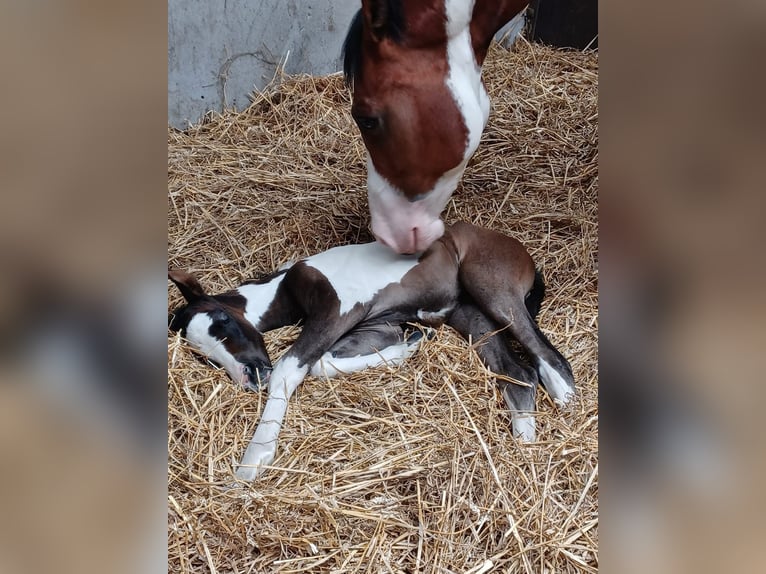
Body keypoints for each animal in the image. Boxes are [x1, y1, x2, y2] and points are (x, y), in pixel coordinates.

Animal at [170, 223, 576, 484]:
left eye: (223, 320)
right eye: (204, 356)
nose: (250, 376)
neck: (286, 286)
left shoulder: (337, 311)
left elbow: (291, 367)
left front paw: (253, 462)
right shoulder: (377, 326)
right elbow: (324, 363)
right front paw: (410, 345)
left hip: (491, 287)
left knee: (549, 357)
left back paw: (564, 400)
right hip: (471, 316)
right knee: (518, 375)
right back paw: (524, 449)